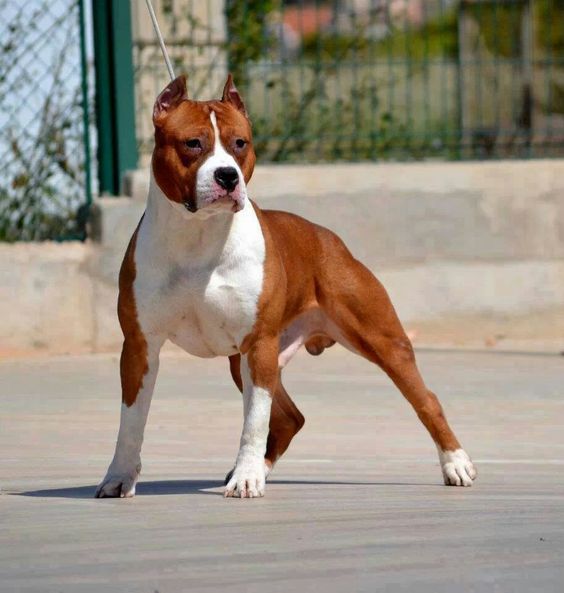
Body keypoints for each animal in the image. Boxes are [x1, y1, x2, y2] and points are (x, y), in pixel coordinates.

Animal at [96, 75, 476, 500]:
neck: (199, 237)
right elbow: (131, 422)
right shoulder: (140, 347)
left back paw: (456, 464)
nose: (227, 176)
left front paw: (247, 480)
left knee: (426, 400)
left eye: (240, 143)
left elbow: (253, 423)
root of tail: (329, 238)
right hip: (247, 362)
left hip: (380, 341)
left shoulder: (258, 344)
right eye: (193, 143)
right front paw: (119, 477)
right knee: (290, 418)